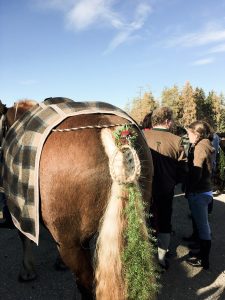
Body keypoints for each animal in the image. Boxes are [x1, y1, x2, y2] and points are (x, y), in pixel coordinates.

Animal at [0, 99, 156, 298]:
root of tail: (110, 128)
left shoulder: (19, 209)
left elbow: (23, 237)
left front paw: (27, 270)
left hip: (70, 245)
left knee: (87, 282)